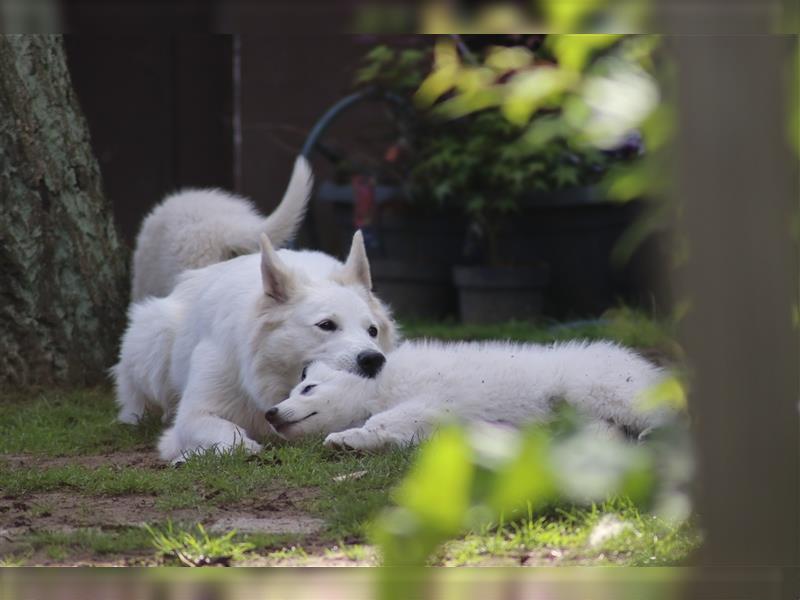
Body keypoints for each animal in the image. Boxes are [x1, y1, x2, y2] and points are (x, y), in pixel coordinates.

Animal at [113, 231, 396, 464]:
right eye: (326, 325)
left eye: (372, 331)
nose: (374, 359)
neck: (266, 377)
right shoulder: (193, 415)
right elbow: (231, 433)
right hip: (155, 336)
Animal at [268, 340, 668, 448]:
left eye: (308, 389)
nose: (270, 412)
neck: (382, 385)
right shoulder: (432, 423)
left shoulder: (434, 401)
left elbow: (384, 419)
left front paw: (348, 437)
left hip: (600, 388)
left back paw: (655, 433)